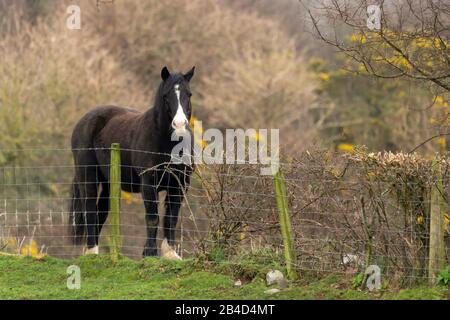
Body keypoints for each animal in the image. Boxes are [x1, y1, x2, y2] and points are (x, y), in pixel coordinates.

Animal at [69, 66, 195, 258]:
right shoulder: (149, 182)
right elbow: (152, 217)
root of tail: (85, 119)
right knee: (89, 210)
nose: (179, 125)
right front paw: (150, 253)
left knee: (100, 213)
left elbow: (171, 218)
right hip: (88, 176)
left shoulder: (179, 183)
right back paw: (92, 252)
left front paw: (170, 253)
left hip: (108, 183)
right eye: (166, 95)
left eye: (189, 94)